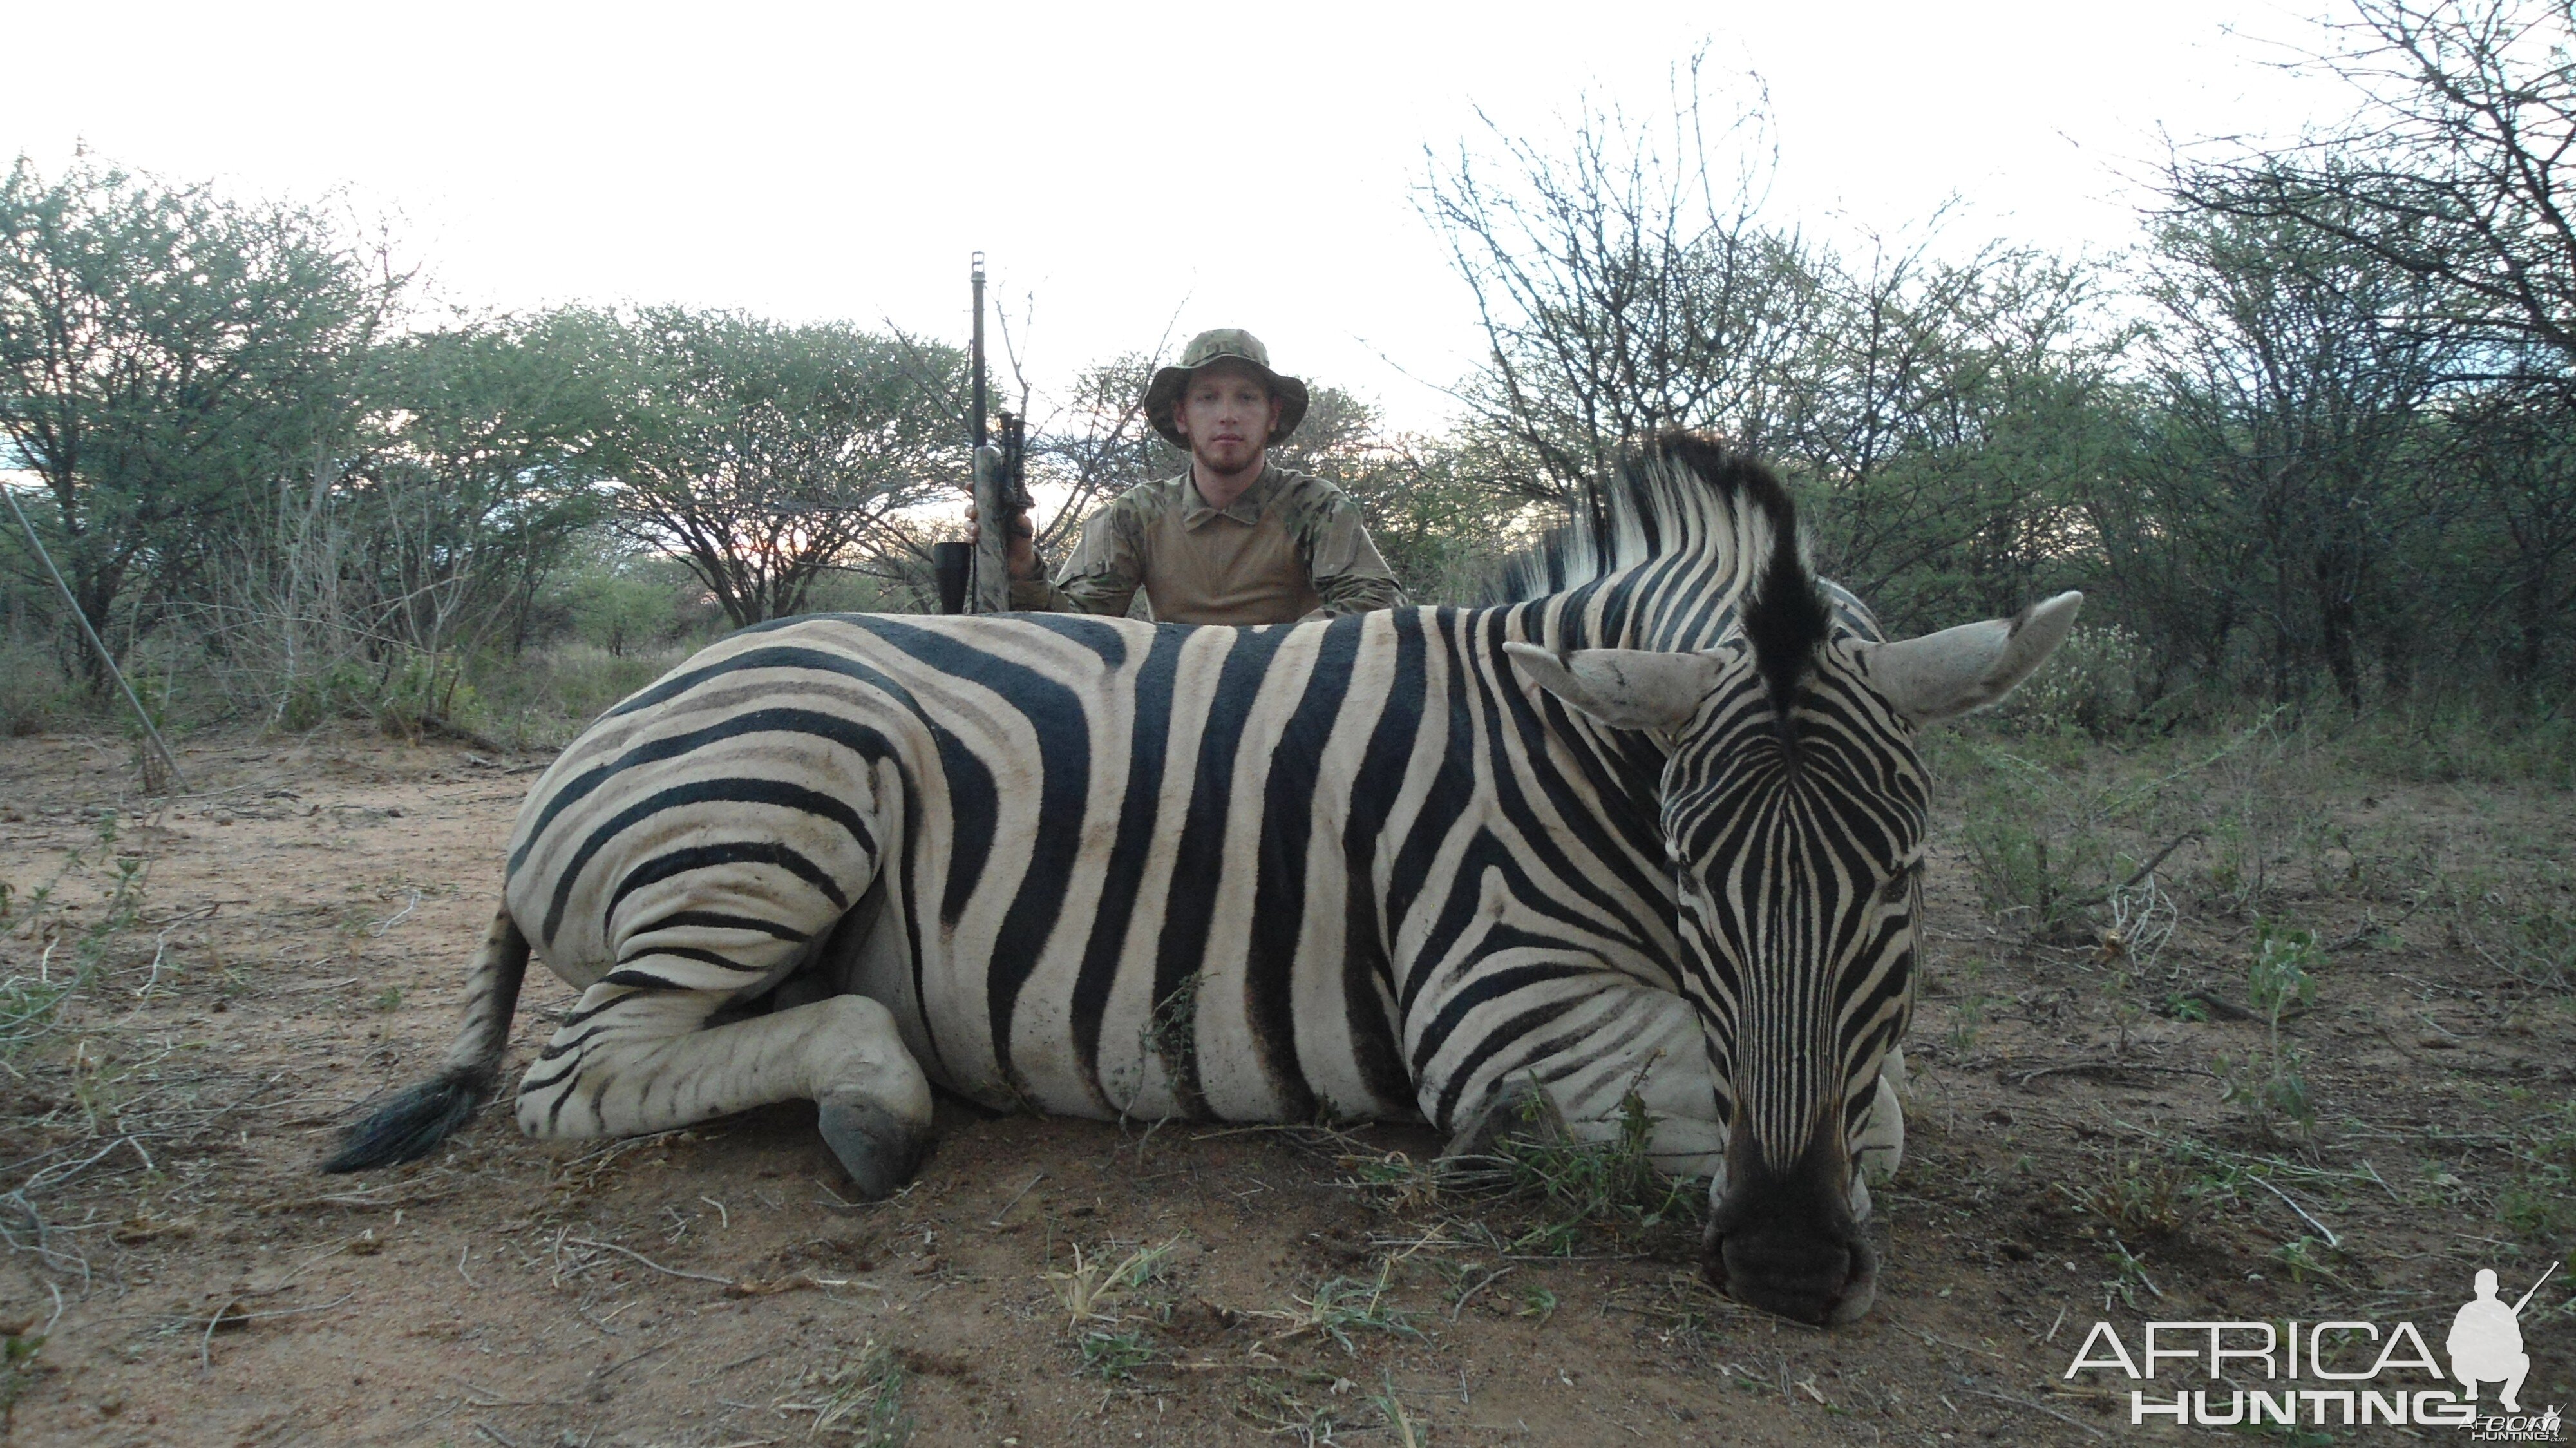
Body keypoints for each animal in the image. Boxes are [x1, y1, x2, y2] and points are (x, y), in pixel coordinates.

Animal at [327, 433, 2071, 1329]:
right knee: (574, 1073)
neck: (1571, 742)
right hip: (783, 800)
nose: (1785, 1262)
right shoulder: (1497, 1001)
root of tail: (614, 722)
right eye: (1691, 873)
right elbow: (1824, 1110)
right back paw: (875, 1101)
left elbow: (1871, 1101)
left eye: (1904, 877)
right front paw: (1511, 1155)